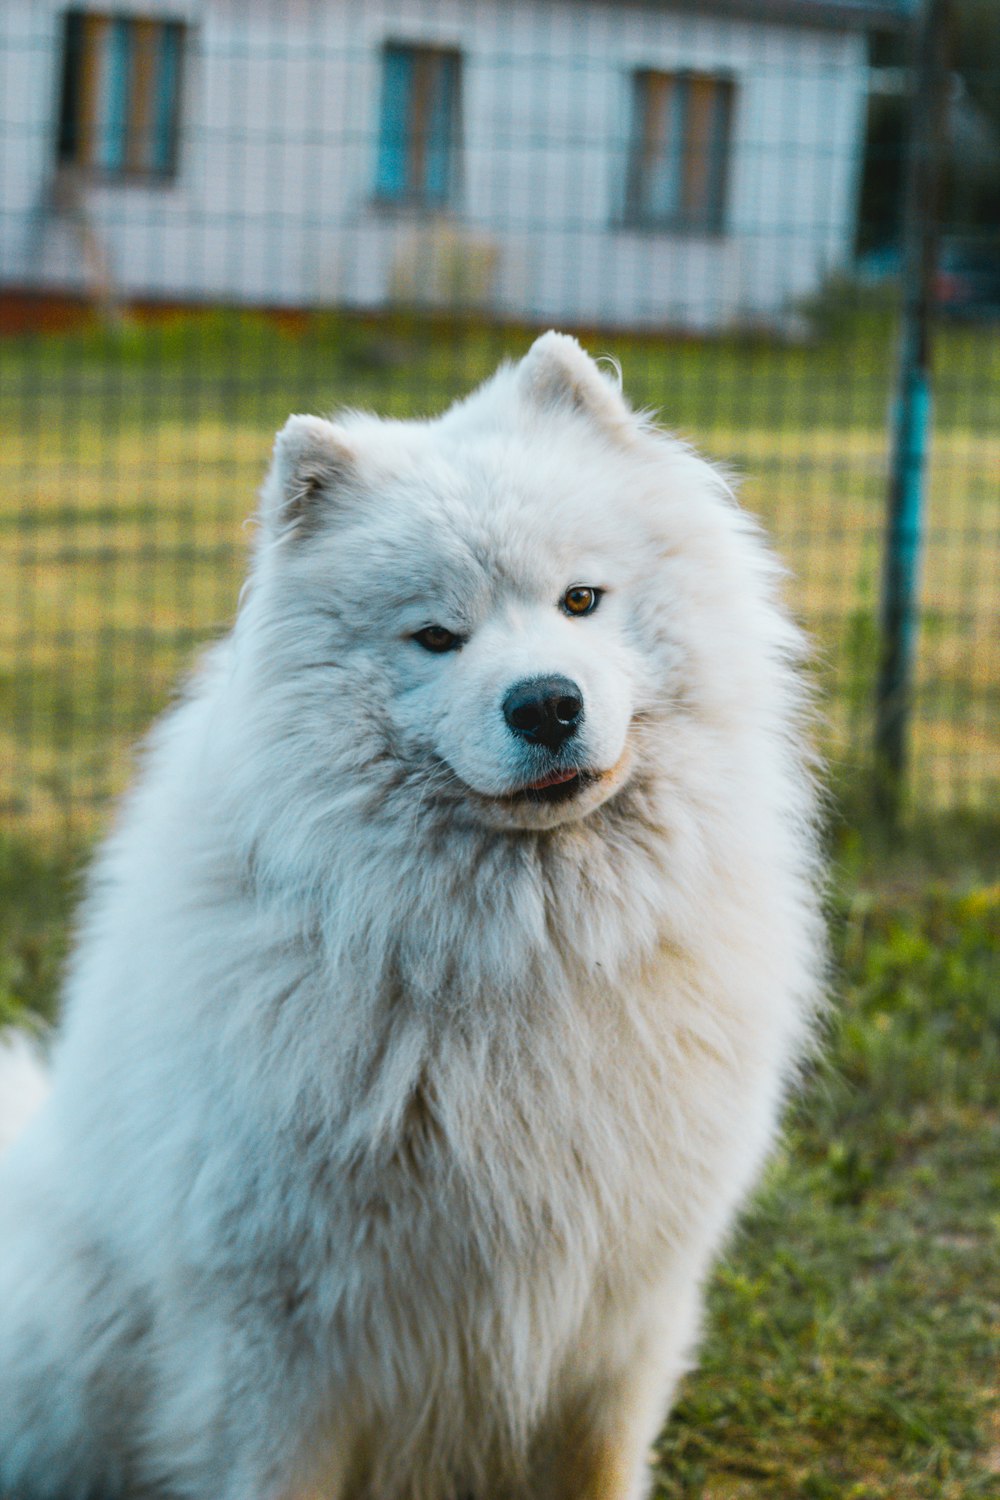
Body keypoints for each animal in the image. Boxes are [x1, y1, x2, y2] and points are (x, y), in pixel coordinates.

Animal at [0, 337, 827, 1500]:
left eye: (581, 599)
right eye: (436, 636)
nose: (546, 702)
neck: (521, 958)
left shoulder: (621, 1310)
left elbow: (598, 1463)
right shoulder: (279, 1333)